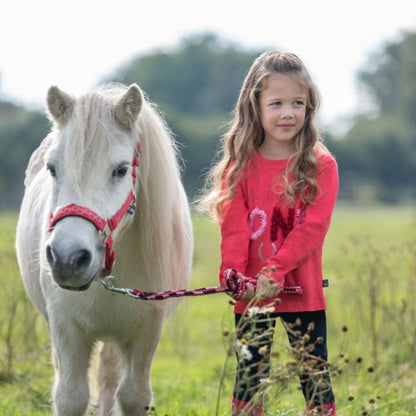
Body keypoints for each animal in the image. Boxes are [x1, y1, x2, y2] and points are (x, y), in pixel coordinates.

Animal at [14, 83, 193, 414]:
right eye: (52, 168)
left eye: (121, 170)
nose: (68, 258)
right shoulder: (65, 326)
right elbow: (70, 397)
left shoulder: (147, 327)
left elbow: (133, 396)